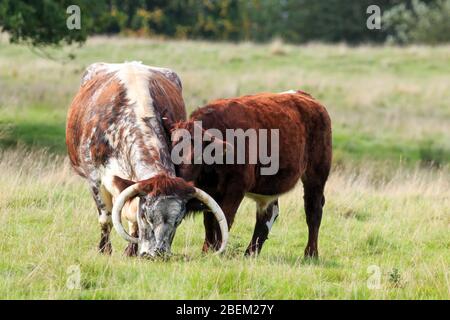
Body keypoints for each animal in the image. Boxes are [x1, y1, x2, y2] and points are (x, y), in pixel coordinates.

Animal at [66, 62, 229, 258]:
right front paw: (104, 250)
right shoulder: (95, 180)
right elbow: (106, 218)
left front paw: (131, 251)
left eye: (178, 221)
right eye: (147, 216)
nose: (157, 254)